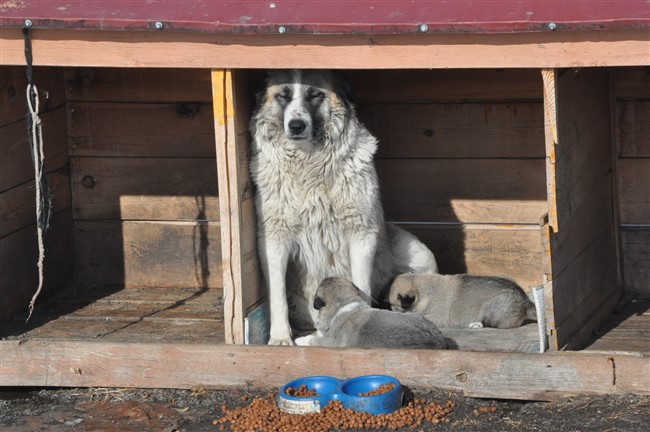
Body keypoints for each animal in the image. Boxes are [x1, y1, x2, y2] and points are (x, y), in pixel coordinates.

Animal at [248, 69, 436, 344]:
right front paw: (281, 338)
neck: (308, 162)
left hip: (419, 253)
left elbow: (361, 284)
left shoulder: (362, 234)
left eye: (315, 94)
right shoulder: (273, 239)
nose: (296, 126)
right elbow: (277, 293)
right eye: (283, 95)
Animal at [388, 272, 536, 330]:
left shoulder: (436, 317)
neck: (425, 292)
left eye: (393, 306)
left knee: (489, 323)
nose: (389, 309)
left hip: (495, 306)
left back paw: (475, 324)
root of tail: (526, 302)